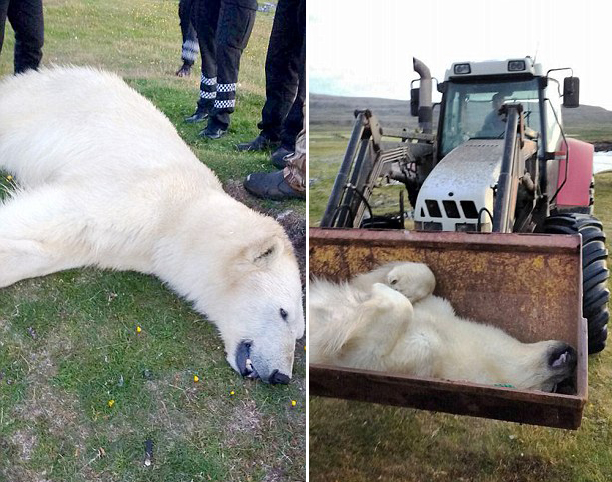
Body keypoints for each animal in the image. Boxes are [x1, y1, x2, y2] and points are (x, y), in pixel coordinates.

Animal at [310, 262, 580, 390]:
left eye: (553, 388)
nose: (575, 357)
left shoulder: (416, 359)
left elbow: (366, 352)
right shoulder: (440, 310)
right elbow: (368, 282)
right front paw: (398, 280)